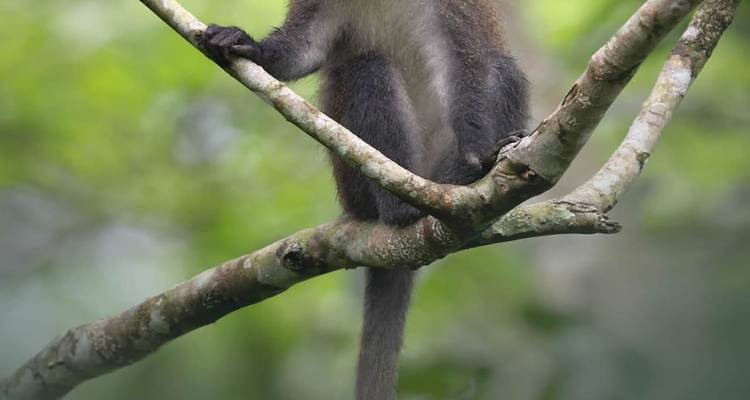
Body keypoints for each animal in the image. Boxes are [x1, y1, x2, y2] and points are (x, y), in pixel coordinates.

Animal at [201, 1, 528, 398]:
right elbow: (305, 47)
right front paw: (249, 46)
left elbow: (471, 60)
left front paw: (476, 154)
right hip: (355, 186)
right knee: (366, 66)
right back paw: (401, 208)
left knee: (504, 69)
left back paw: (458, 177)